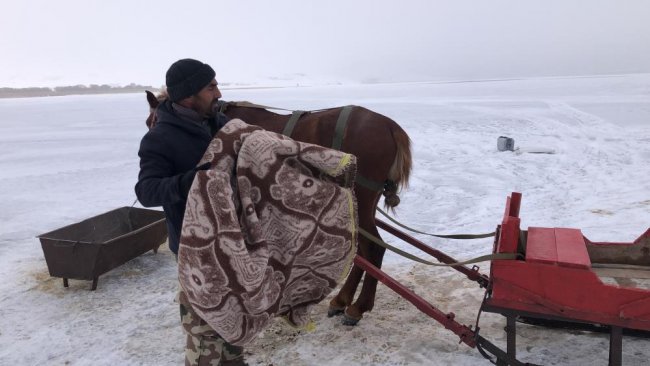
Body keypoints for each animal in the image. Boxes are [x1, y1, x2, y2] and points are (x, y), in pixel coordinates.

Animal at [146, 90, 410, 324]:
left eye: (151, 121)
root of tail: (390, 126)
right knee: (363, 251)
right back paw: (343, 300)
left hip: (362, 201)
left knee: (374, 248)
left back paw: (358, 307)